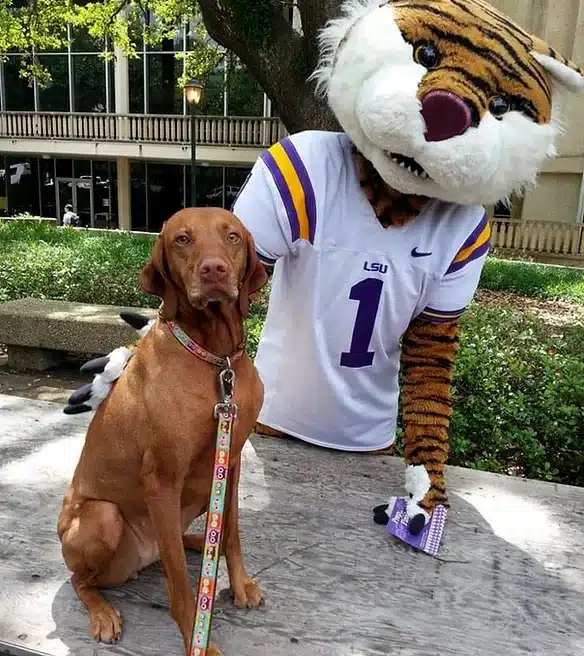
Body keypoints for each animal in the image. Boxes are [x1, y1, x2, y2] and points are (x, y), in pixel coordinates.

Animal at [56, 209, 270, 656]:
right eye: (182, 239)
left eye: (232, 236)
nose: (214, 270)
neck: (215, 357)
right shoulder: (162, 479)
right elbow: (182, 591)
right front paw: (197, 639)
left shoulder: (231, 460)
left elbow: (233, 530)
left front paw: (240, 584)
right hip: (102, 518)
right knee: (82, 580)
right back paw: (103, 613)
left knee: (195, 538)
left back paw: (202, 543)